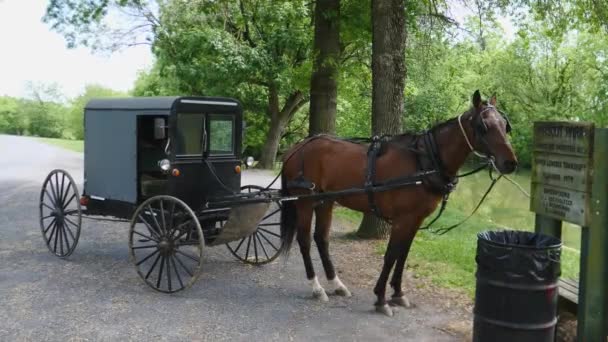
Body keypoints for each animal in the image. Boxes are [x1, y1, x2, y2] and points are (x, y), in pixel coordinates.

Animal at [278, 90, 516, 316]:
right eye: (483, 126)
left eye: (505, 126)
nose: (510, 163)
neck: (423, 161)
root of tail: (296, 148)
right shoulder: (402, 219)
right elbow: (391, 255)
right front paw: (381, 299)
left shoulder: (415, 219)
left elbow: (403, 254)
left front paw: (398, 294)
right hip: (304, 202)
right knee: (304, 240)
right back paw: (316, 287)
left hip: (325, 201)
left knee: (321, 239)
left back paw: (336, 284)